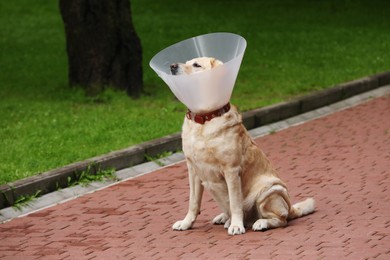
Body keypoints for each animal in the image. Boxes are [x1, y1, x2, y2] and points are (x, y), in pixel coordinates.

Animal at [170, 57, 314, 236]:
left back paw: (259, 223)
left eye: (197, 65)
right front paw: (186, 223)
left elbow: (235, 202)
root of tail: (290, 208)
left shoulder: (231, 170)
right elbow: (193, 202)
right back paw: (224, 218)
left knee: (281, 219)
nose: (172, 66)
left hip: (270, 190)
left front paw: (237, 226)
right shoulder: (193, 170)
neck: (204, 120)